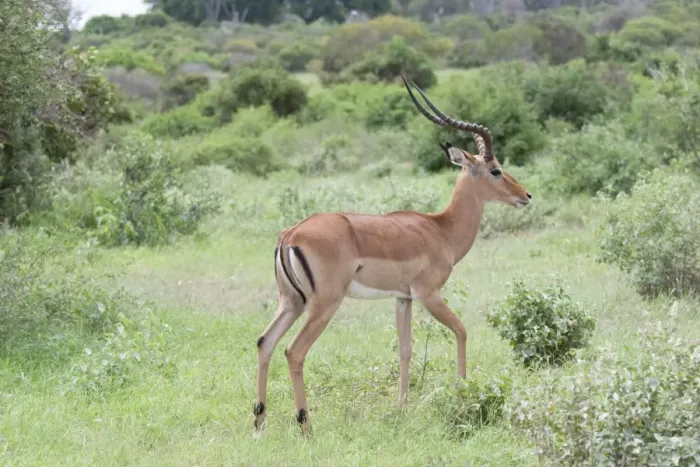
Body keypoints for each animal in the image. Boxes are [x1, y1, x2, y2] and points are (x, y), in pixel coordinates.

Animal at [253, 77, 532, 435]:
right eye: (496, 170)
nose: (526, 195)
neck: (440, 229)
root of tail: (290, 235)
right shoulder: (429, 294)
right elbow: (461, 330)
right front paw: (463, 393)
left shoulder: (403, 298)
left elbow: (405, 349)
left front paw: (401, 407)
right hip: (324, 304)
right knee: (293, 351)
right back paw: (305, 425)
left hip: (291, 302)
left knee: (266, 342)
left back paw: (259, 421)